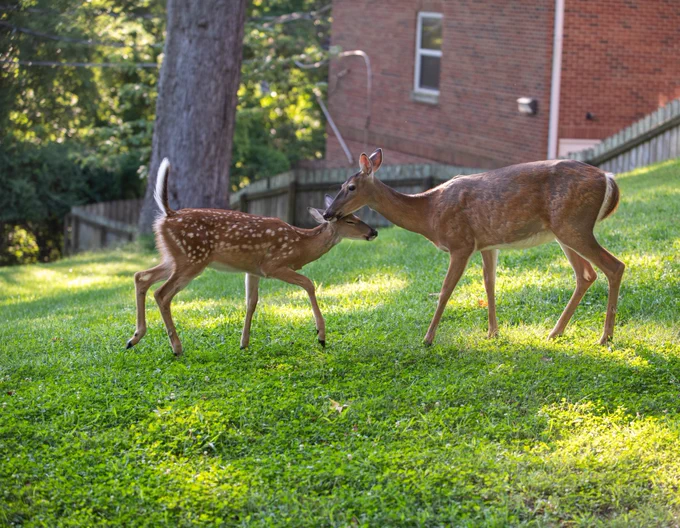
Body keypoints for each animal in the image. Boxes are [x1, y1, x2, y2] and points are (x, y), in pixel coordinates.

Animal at [126, 158, 378, 356]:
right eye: (350, 220)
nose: (373, 232)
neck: (300, 245)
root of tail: (167, 215)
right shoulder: (273, 265)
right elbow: (309, 283)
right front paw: (321, 334)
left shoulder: (253, 270)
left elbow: (251, 302)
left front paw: (243, 343)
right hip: (192, 258)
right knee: (162, 293)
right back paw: (176, 347)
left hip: (174, 257)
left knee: (141, 276)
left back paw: (134, 338)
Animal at [323, 148, 625, 346]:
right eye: (340, 185)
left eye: (350, 187)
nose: (327, 213)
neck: (429, 213)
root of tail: (608, 177)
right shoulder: (488, 244)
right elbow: (489, 285)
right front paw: (493, 333)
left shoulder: (461, 243)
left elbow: (445, 291)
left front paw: (428, 338)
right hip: (563, 231)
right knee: (586, 274)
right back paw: (555, 332)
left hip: (574, 225)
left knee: (614, 266)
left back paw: (604, 336)